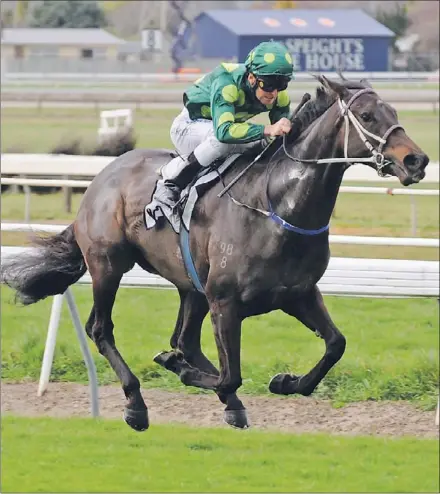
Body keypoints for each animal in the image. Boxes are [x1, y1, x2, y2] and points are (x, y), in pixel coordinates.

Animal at [1, 74, 428, 432]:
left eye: (395, 113)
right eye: (367, 115)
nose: (417, 160)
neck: (278, 207)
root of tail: (99, 180)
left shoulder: (298, 294)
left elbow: (334, 345)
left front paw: (284, 382)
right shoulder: (226, 302)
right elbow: (230, 373)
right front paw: (191, 376)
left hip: (191, 286)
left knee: (185, 340)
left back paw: (208, 387)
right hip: (108, 265)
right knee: (101, 328)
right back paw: (137, 404)